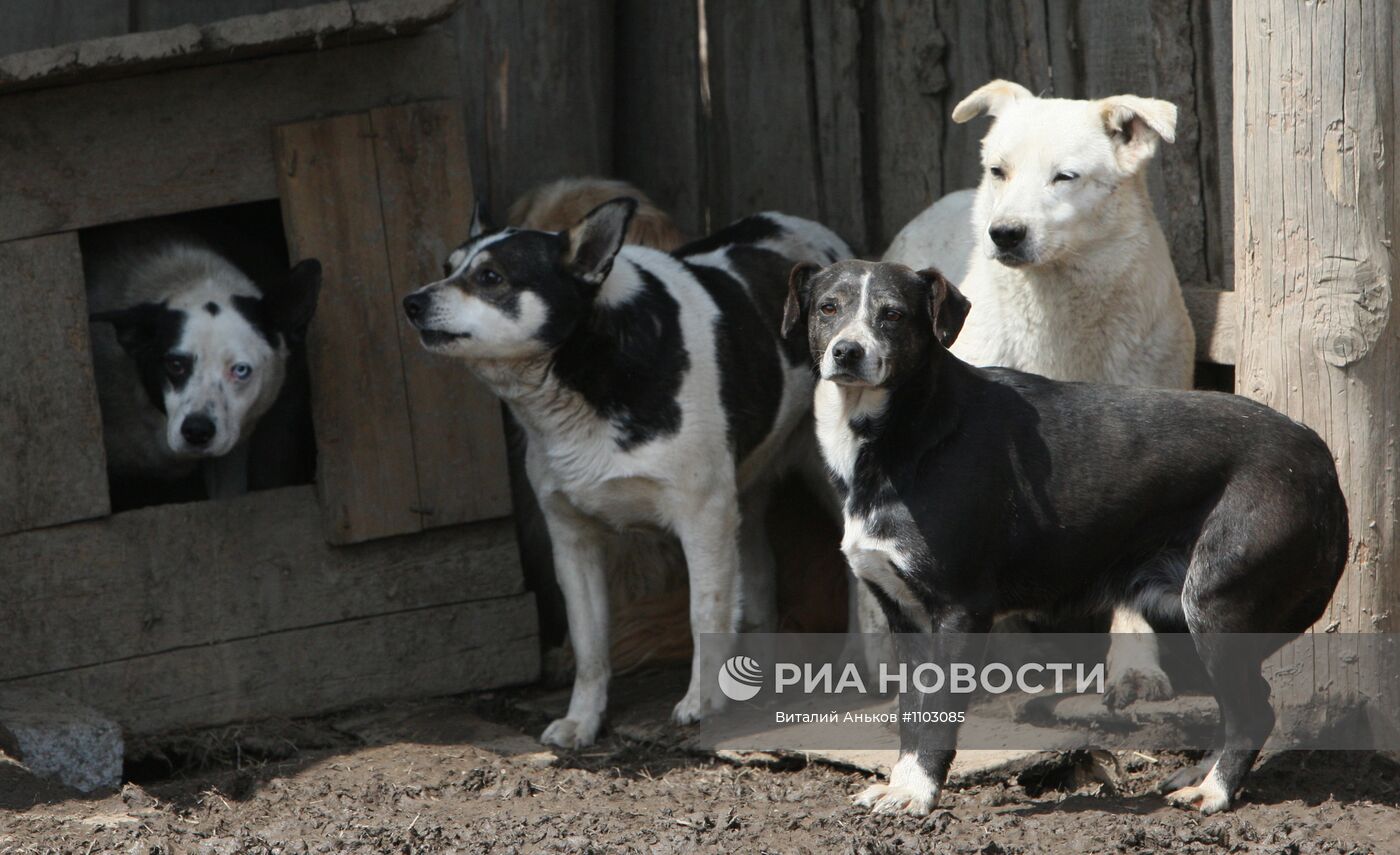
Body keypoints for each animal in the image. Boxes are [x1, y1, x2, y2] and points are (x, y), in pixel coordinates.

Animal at [784, 258, 1349, 817]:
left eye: (894, 315)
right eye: (828, 308)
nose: (848, 351)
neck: (908, 429)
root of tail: (1319, 457)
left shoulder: (961, 609)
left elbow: (939, 713)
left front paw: (920, 794)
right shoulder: (905, 617)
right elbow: (911, 714)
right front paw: (900, 784)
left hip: (1215, 605)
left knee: (1253, 711)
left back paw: (1215, 792)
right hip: (1182, 614)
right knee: (1235, 706)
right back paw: (1199, 774)